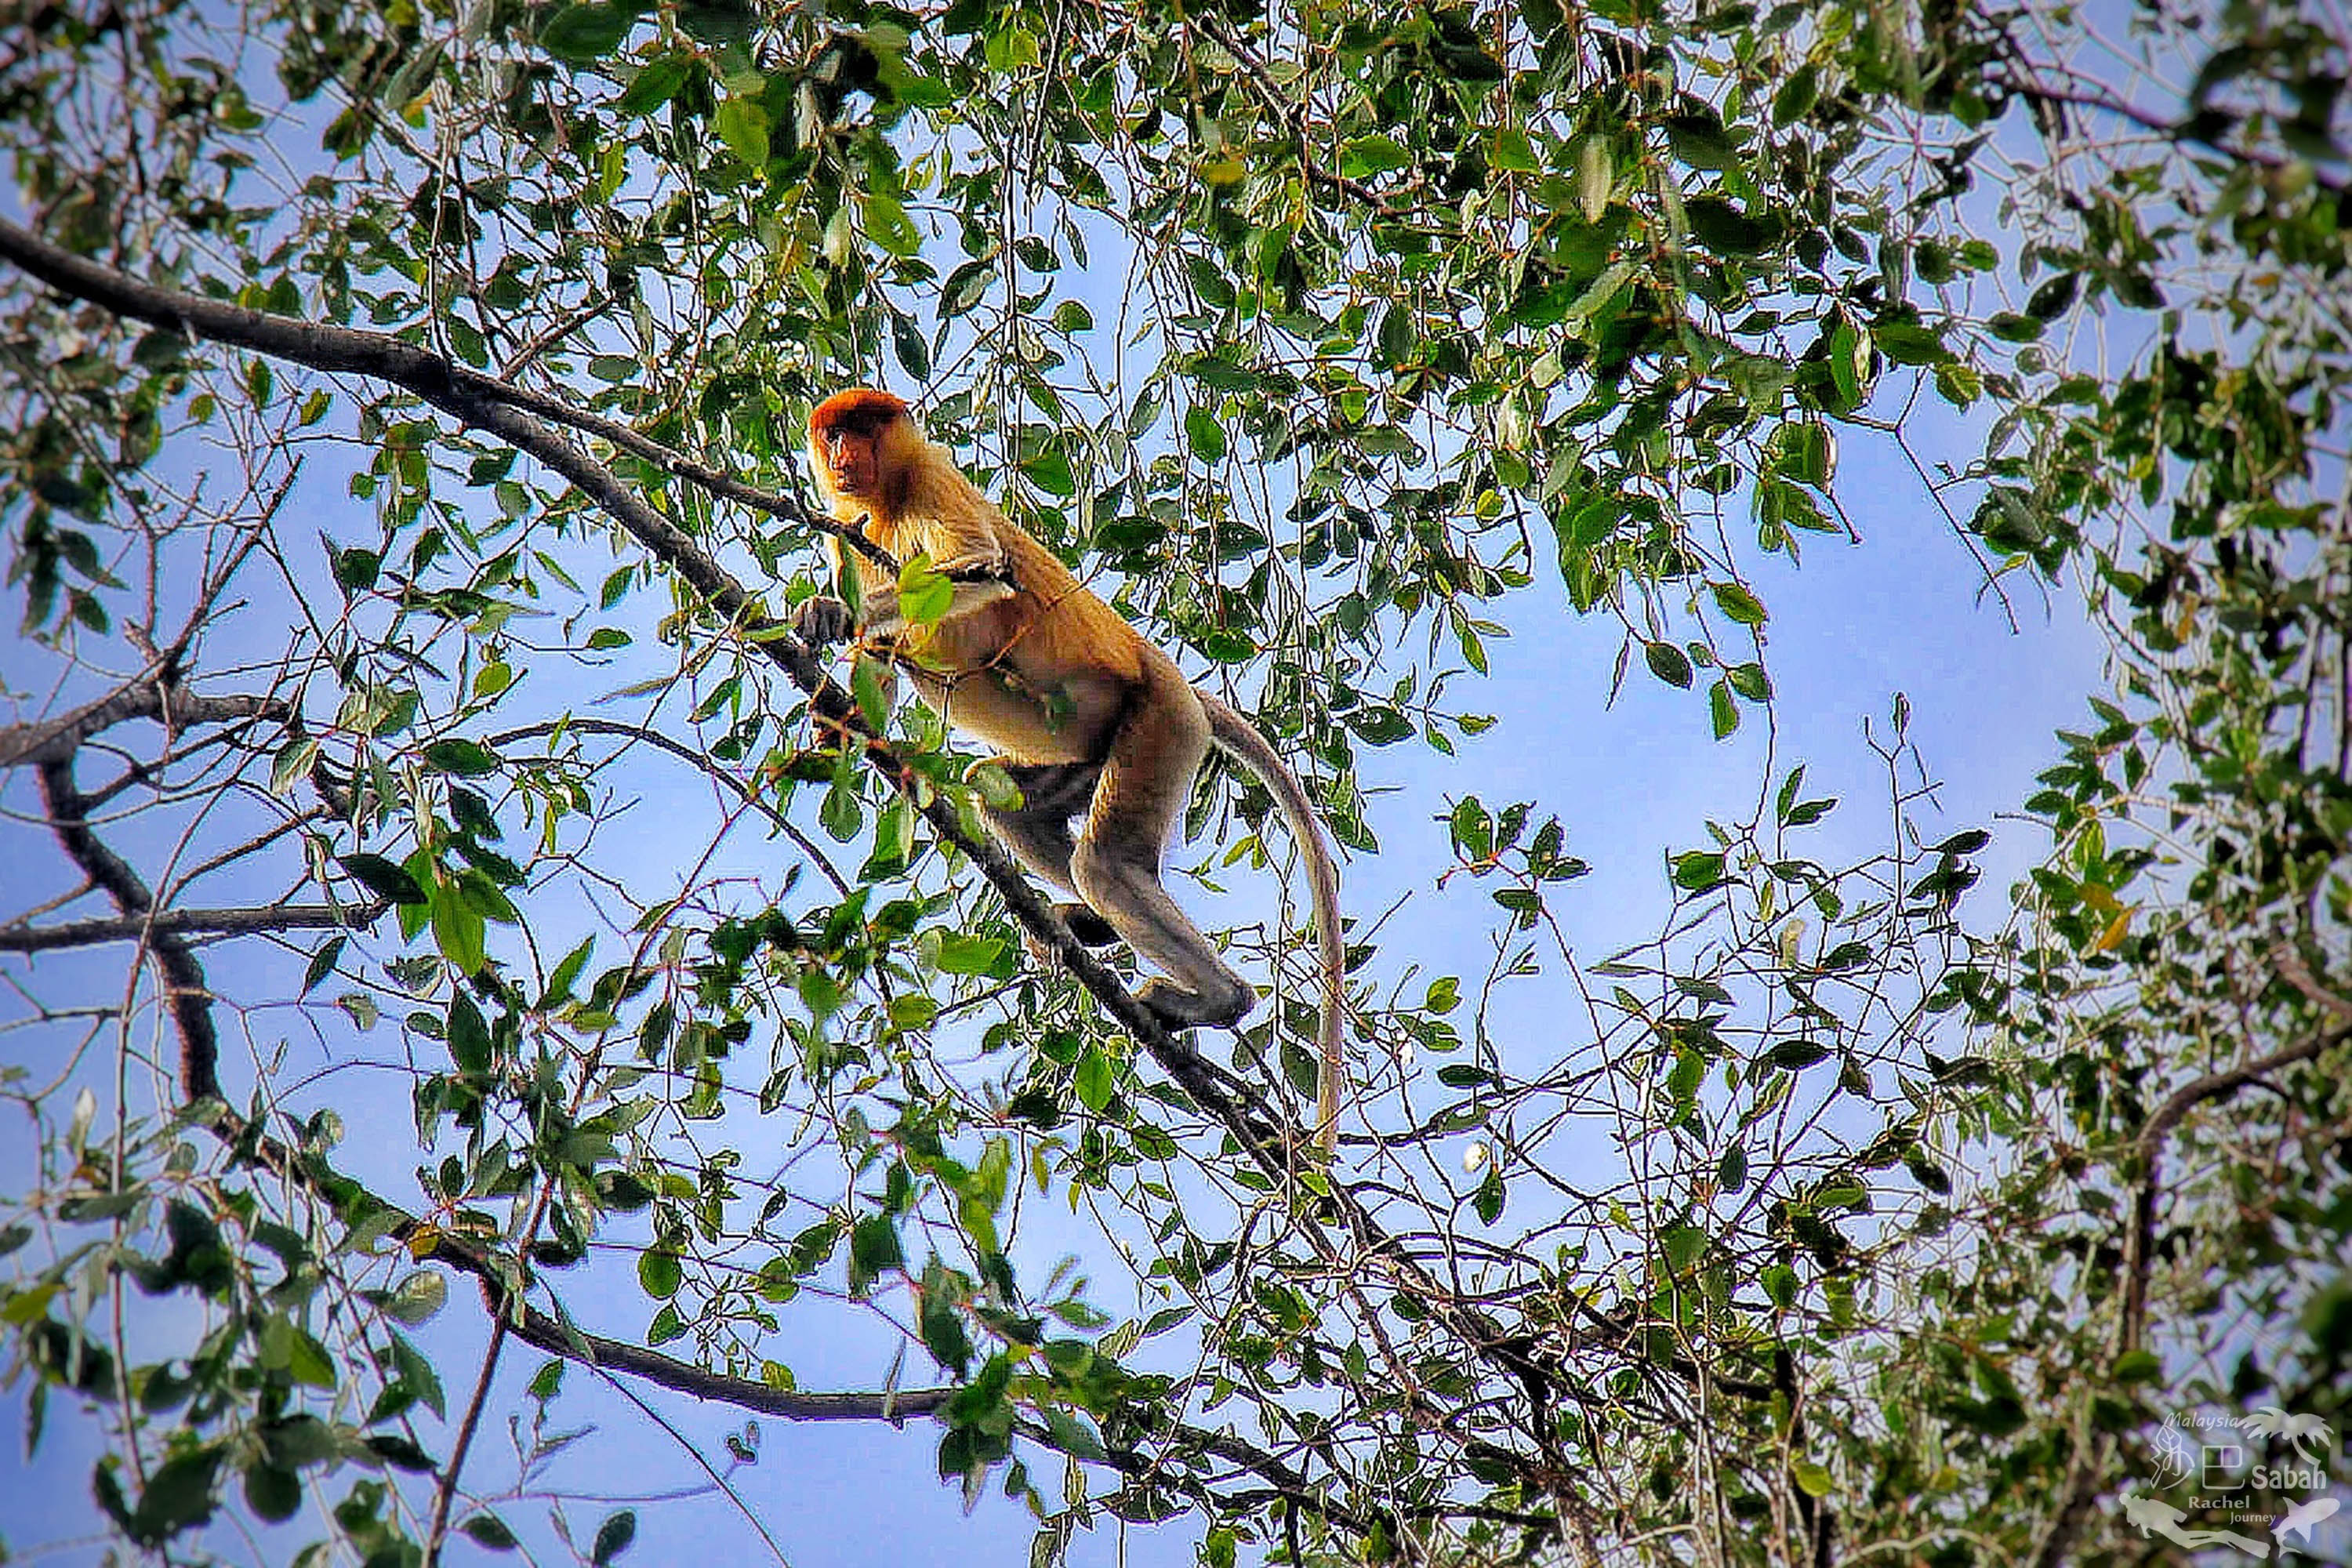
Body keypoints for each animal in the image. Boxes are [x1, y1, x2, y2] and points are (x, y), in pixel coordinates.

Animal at [795, 390, 1355, 1152]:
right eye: (833, 435)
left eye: (862, 428)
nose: (844, 457)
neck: (885, 498)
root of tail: (1168, 672)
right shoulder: (848, 531)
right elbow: (881, 657)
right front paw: (838, 722)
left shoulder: (933, 486)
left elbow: (981, 569)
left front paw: (831, 612)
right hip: (1090, 751)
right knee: (1007, 805)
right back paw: (1086, 925)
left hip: (1159, 723)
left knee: (1107, 865)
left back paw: (1216, 996)